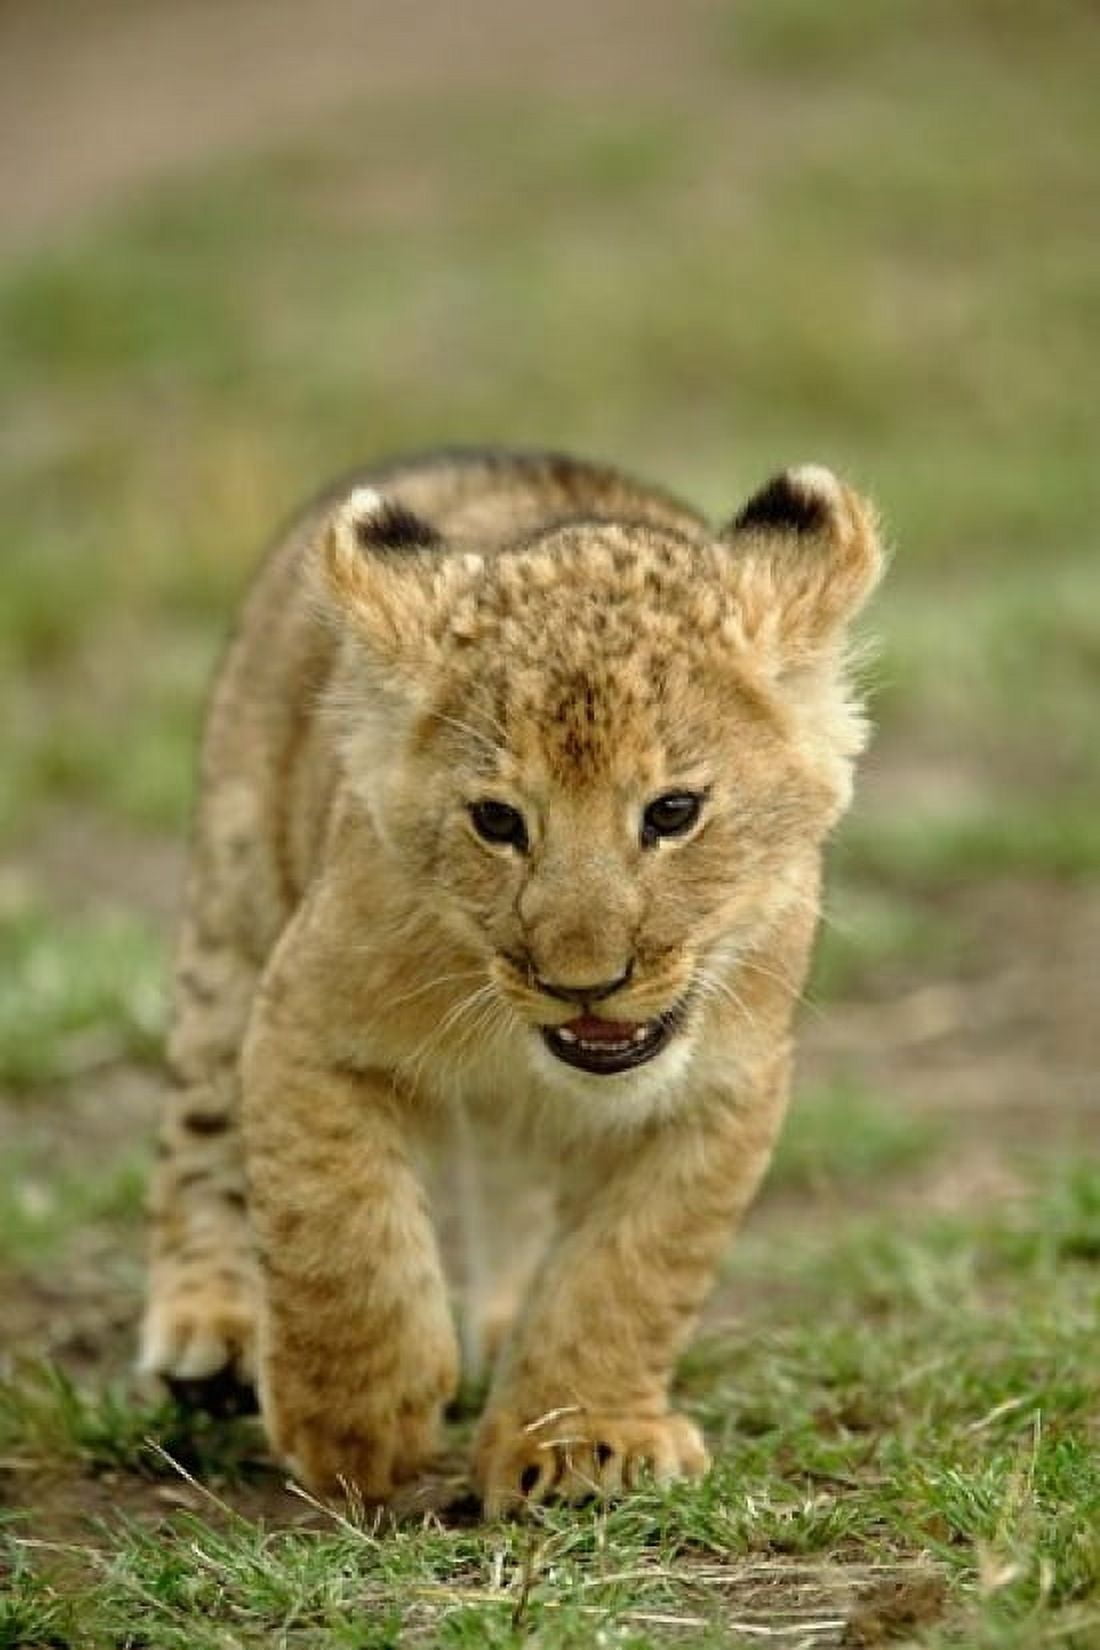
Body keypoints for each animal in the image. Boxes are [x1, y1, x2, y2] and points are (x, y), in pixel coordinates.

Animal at [139, 447, 883, 1512]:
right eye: (497, 821)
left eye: (673, 811)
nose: (585, 982)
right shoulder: (304, 1021)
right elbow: (336, 1231)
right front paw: (354, 1427)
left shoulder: (728, 1088)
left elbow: (633, 1269)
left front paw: (580, 1440)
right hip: (234, 906)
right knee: (198, 1129)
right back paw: (210, 1335)